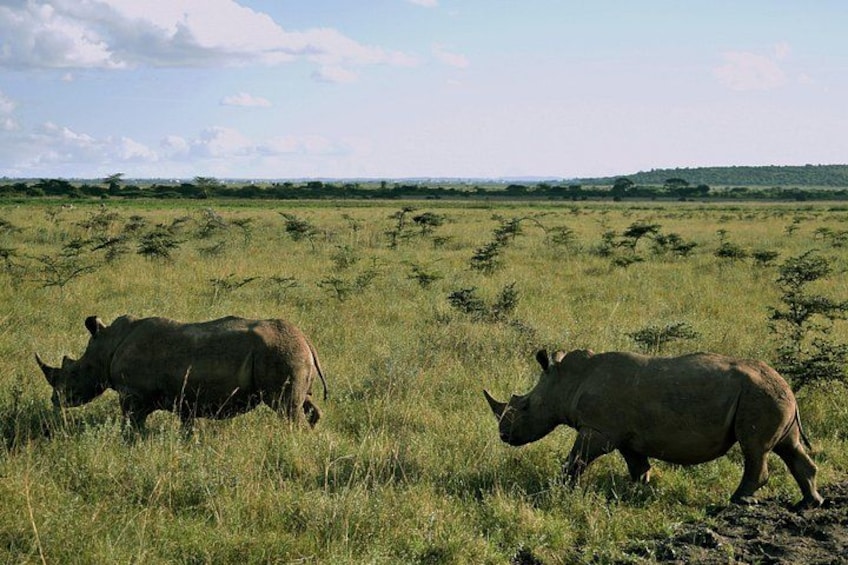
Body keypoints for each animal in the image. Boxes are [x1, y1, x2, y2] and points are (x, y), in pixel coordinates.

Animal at [36, 315, 328, 431]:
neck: (106, 347)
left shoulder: (133, 395)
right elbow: (186, 427)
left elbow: (131, 424)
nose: (54, 401)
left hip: (280, 353)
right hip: (290, 353)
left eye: (74, 373)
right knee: (303, 404)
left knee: (286, 409)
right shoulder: (185, 399)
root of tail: (306, 339)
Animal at [484, 349, 824, 509]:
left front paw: (559, 488)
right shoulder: (622, 435)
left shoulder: (597, 430)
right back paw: (809, 503)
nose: (503, 436)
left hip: (759, 396)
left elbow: (576, 459)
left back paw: (740, 500)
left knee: (755, 449)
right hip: (770, 395)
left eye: (525, 407)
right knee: (788, 447)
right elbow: (637, 463)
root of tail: (788, 387)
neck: (566, 380)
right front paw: (639, 488)